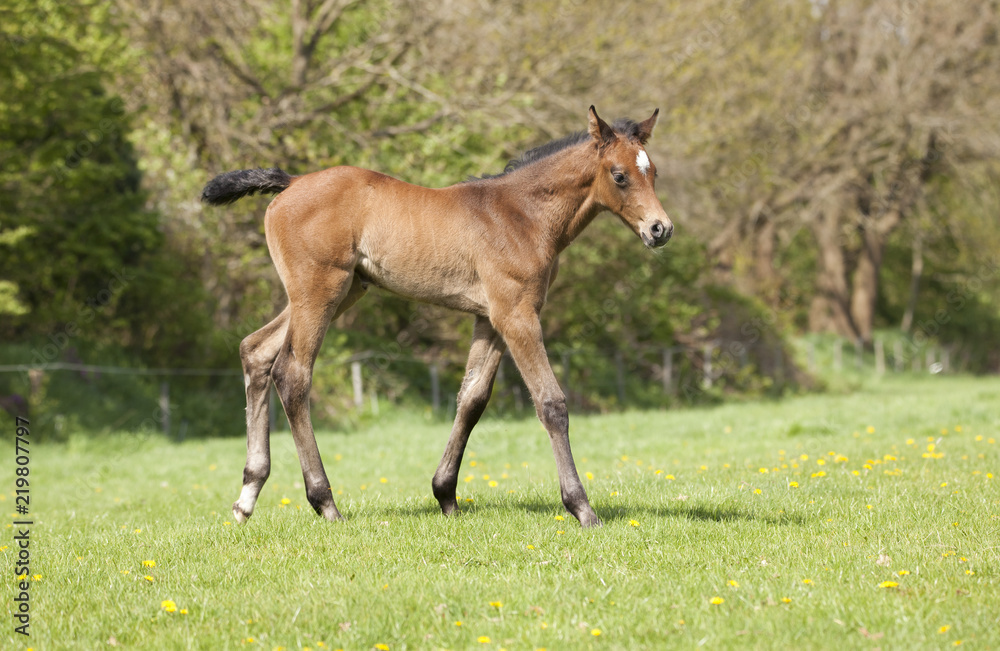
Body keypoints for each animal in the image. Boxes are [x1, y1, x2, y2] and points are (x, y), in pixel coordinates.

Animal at [202, 105, 672, 524]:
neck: (521, 214)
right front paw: (582, 508)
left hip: (338, 292)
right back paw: (325, 503)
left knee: (256, 351)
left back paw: (247, 497)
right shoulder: (516, 313)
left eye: (654, 173)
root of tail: (292, 181)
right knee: (292, 373)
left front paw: (445, 496)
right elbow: (550, 403)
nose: (660, 229)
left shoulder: (491, 319)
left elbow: (472, 399)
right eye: (619, 175)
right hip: (320, 291)